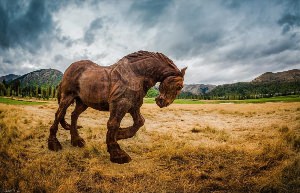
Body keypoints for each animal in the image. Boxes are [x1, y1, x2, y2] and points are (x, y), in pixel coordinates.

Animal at [47, 50, 186, 164]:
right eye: (180, 86)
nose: (163, 102)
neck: (137, 74)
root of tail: (68, 70)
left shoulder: (133, 106)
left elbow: (139, 122)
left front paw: (118, 135)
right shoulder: (120, 103)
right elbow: (113, 124)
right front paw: (117, 154)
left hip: (83, 102)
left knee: (74, 115)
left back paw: (77, 141)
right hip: (67, 97)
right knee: (59, 114)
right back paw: (54, 144)